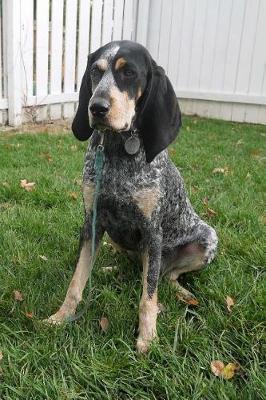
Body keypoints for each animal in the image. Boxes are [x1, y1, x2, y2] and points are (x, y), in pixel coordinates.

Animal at [46, 40, 218, 354]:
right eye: (95, 71)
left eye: (129, 73)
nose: (96, 107)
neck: (117, 150)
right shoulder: (92, 223)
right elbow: (76, 282)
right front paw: (60, 317)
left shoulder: (152, 232)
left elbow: (147, 299)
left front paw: (147, 338)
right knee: (138, 268)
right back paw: (110, 268)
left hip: (207, 239)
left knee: (163, 276)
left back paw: (179, 290)